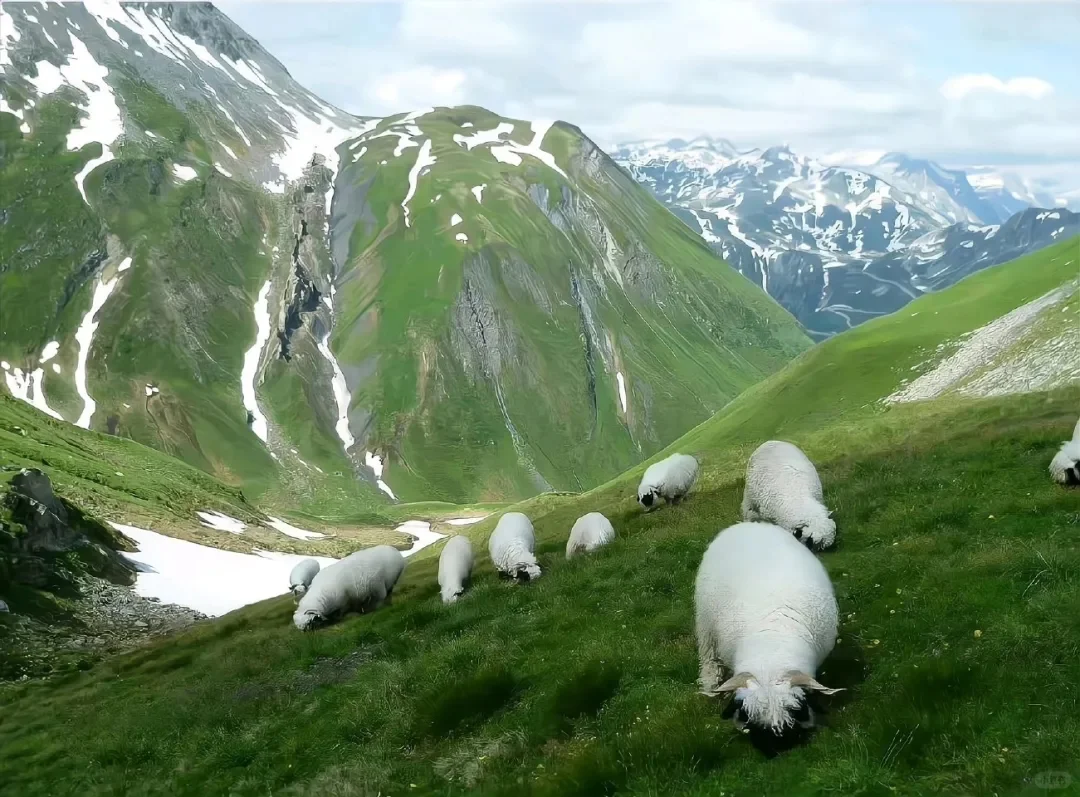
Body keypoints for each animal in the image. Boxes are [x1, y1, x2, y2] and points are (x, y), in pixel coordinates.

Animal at [691, 518, 842, 734]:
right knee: (709, 657)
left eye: (797, 711)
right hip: (705, 623)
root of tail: (748, 524)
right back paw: (710, 683)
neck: (772, 646)